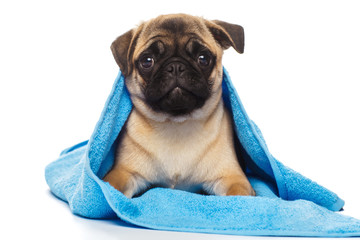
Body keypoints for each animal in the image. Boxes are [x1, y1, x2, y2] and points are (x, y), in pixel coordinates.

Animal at [103, 13, 256, 198]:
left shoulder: (232, 177)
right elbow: (110, 185)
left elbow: (238, 195)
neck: (176, 124)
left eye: (203, 59)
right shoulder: (124, 172)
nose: (175, 66)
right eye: (147, 61)